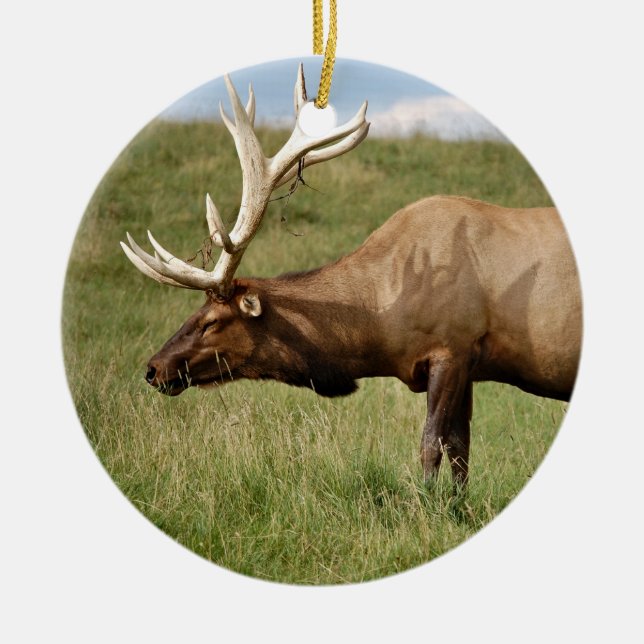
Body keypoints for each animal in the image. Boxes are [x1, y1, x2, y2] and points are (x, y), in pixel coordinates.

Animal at [121, 65, 582, 488]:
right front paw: (458, 508)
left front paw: (428, 506)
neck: (380, 326)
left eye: (212, 321)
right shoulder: (465, 364)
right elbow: (460, 452)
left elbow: (431, 445)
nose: (153, 368)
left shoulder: (452, 347)